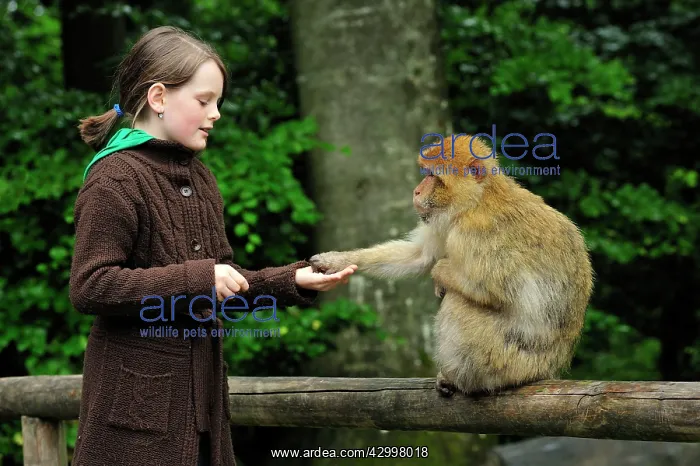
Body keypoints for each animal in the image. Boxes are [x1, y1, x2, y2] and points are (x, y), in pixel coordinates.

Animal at [309, 134, 594, 397]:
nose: (416, 191)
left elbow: (494, 290)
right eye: (426, 174)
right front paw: (338, 260)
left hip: (505, 363)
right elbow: (421, 256)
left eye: (433, 177)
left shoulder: (473, 234)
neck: (477, 200)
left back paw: (457, 378)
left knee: (459, 301)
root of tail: (545, 370)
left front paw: (441, 273)